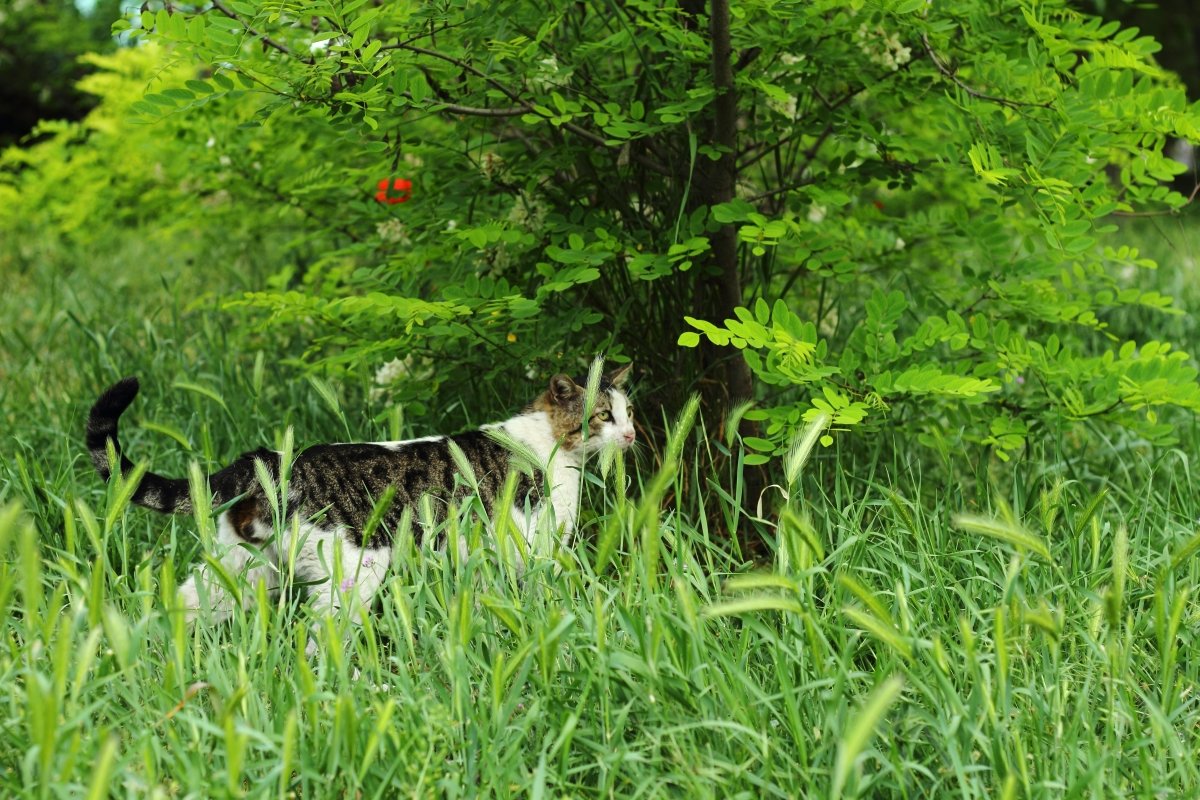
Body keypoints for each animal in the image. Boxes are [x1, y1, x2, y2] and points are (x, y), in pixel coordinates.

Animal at [87, 367, 638, 623]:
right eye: (603, 416)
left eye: (628, 411)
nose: (632, 434)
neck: (549, 442)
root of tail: (266, 461)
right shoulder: (533, 550)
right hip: (354, 572)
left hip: (237, 572)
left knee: (178, 608)